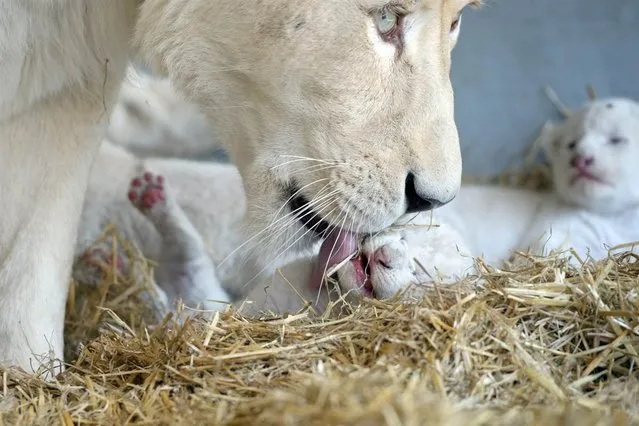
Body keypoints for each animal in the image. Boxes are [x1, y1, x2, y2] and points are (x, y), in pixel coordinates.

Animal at [438, 97, 639, 266]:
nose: (579, 159)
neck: (615, 218)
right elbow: (554, 251)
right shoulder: (559, 228)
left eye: (616, 139)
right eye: (571, 144)